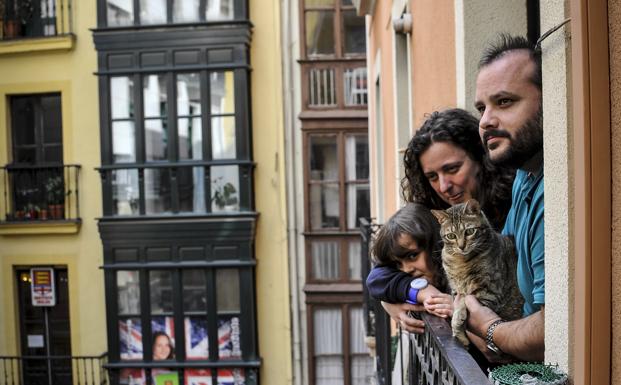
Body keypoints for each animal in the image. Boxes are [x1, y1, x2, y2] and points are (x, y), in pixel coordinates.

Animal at [432, 200, 524, 346]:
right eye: (451, 236)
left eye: (469, 231)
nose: (461, 246)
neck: (461, 261)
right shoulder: (456, 289)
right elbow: (458, 302)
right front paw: (460, 335)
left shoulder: (488, 291)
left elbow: (463, 303)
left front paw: (458, 324)